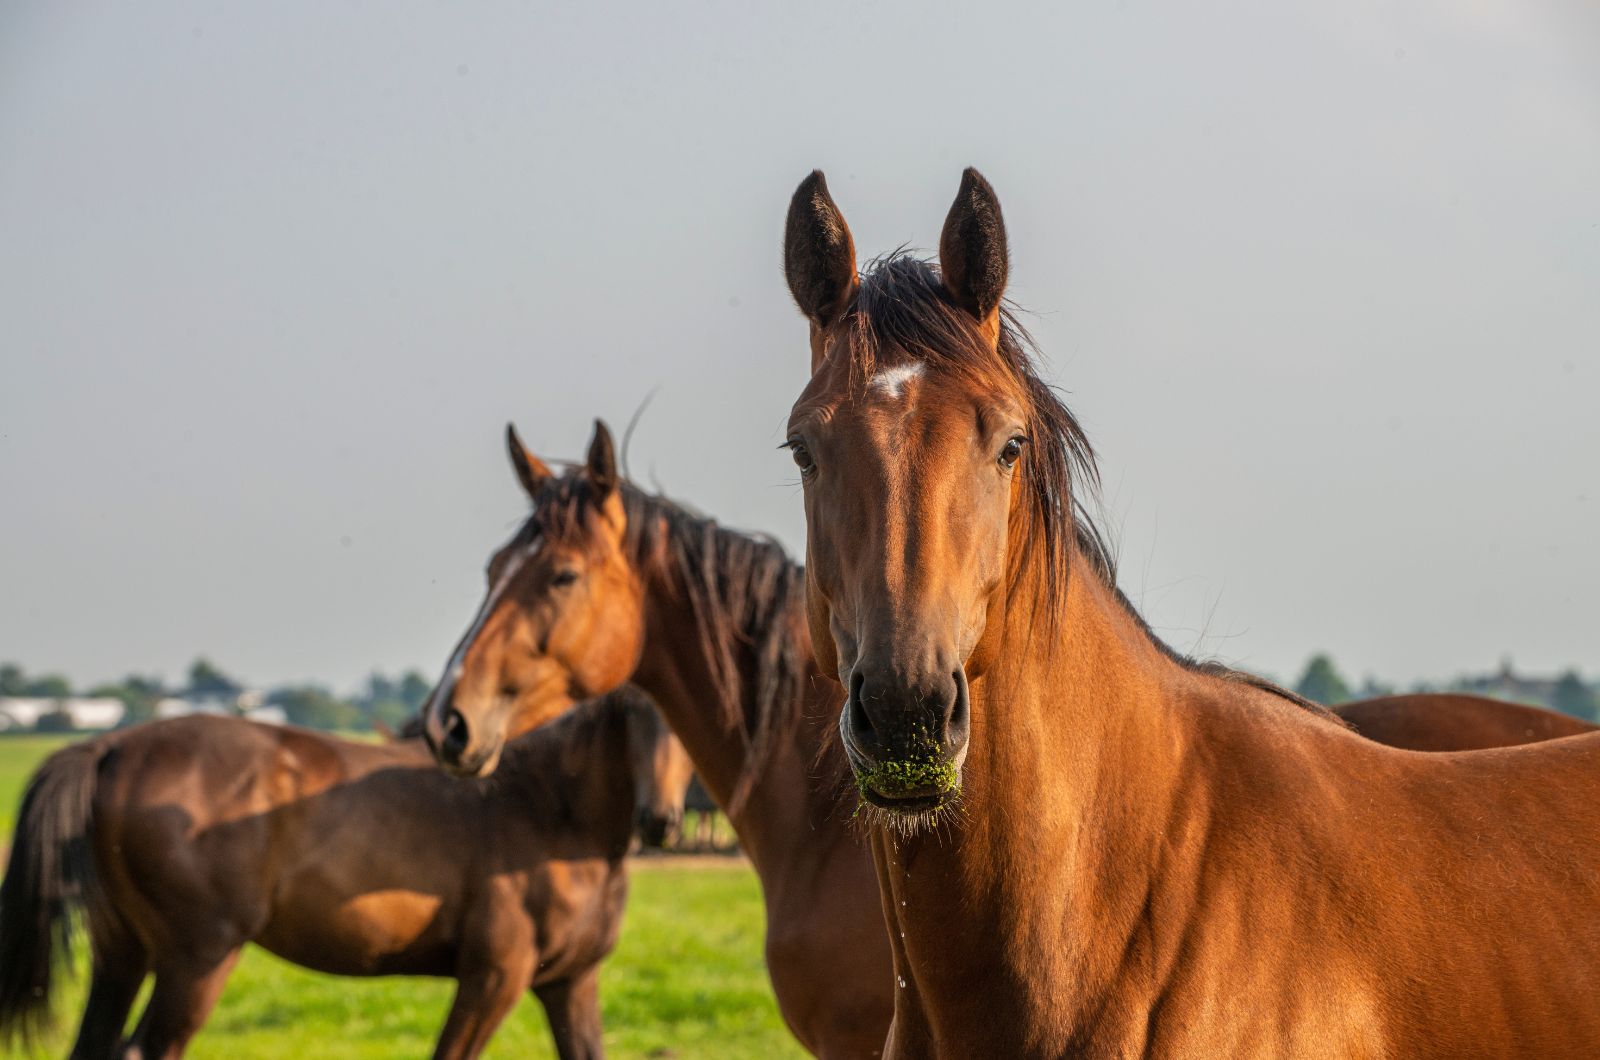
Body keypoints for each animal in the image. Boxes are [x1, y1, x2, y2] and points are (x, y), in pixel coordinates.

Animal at [0, 685, 688, 1056]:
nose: (661, 820)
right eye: (635, 710)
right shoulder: (495, 978)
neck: (549, 811)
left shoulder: (570, 984)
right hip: (198, 959)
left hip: (123, 955)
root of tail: (112, 746)